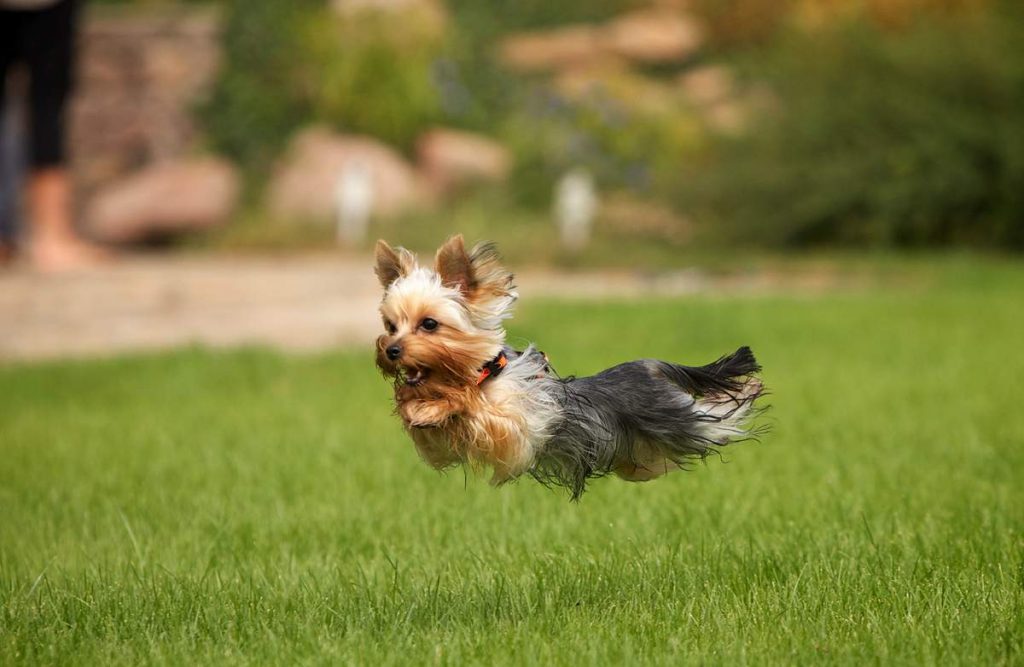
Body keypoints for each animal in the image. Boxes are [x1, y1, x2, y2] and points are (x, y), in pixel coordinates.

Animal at [372, 237, 765, 497]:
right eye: (391, 325)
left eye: (429, 324)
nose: (391, 350)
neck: (487, 373)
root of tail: (648, 366)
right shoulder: (443, 444)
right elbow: (432, 431)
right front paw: (416, 405)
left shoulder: (516, 428)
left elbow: (482, 410)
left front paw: (442, 402)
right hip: (642, 453)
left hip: (680, 421)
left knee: (717, 418)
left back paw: (749, 389)